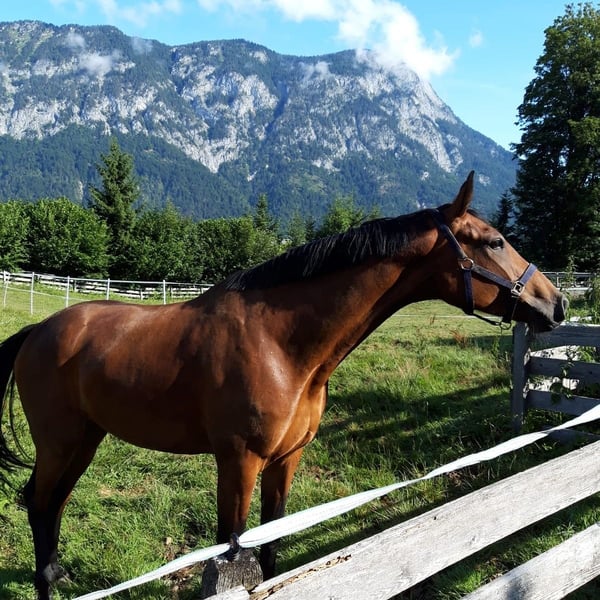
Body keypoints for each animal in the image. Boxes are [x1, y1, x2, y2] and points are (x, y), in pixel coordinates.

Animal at [0, 172, 567, 599]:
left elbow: (272, 549)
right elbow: (232, 548)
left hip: (85, 440)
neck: (280, 345)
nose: (555, 302)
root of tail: (39, 331)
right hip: (60, 443)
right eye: (494, 241)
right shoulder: (238, 463)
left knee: (54, 504)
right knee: (38, 503)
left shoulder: (284, 462)